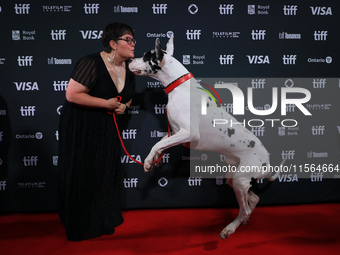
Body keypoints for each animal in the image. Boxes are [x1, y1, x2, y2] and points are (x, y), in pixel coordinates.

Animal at [129, 36, 282, 238]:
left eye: (146, 56)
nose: (130, 59)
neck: (179, 86)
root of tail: (268, 163)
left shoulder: (188, 133)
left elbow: (157, 143)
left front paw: (148, 161)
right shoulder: (178, 133)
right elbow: (161, 142)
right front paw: (157, 158)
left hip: (240, 180)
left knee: (244, 208)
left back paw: (231, 227)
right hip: (234, 177)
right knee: (253, 198)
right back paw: (245, 219)